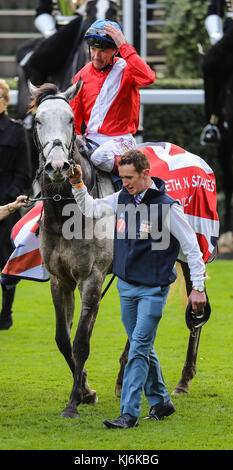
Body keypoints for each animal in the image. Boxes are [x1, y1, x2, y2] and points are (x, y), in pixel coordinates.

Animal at [19, 81, 216, 418]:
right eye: (38, 120)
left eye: (71, 119)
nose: (57, 166)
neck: (67, 214)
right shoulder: (60, 279)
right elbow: (63, 338)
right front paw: (86, 390)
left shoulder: (92, 278)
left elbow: (81, 341)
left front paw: (73, 403)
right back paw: (125, 375)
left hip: (195, 249)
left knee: (196, 308)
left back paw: (183, 380)